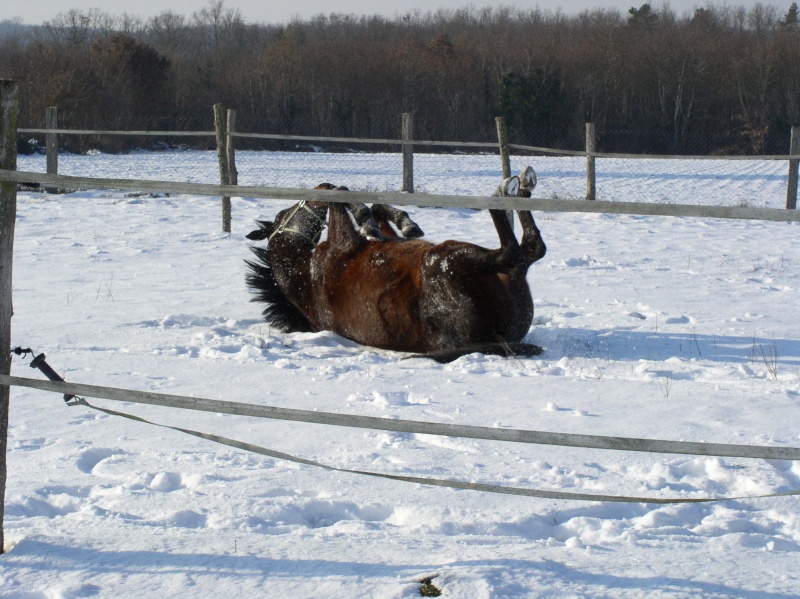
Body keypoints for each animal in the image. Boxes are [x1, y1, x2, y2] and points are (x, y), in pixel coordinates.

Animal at [244, 165, 544, 360]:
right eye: (283, 214)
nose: (318, 188)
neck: (307, 276)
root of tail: (500, 338)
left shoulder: (378, 240)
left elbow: (378, 212)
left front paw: (406, 224)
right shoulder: (343, 242)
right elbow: (343, 200)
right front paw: (360, 213)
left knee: (529, 250)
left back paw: (522, 185)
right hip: (446, 258)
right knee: (518, 253)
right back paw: (509, 188)